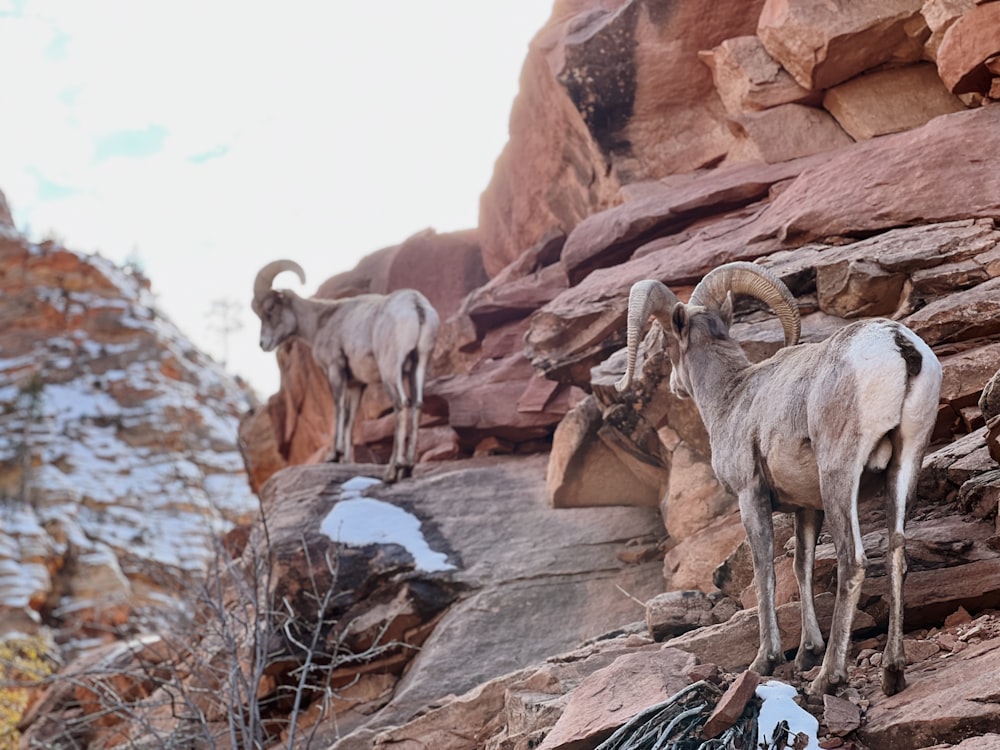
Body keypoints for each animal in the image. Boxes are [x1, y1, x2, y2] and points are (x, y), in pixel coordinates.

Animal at [252, 262, 440, 484]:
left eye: (270, 309)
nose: (263, 344)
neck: (320, 322)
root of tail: (416, 304)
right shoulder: (357, 384)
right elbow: (351, 419)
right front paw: (348, 460)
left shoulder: (336, 370)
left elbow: (339, 410)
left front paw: (334, 456)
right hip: (419, 364)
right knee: (417, 404)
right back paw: (407, 469)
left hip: (390, 369)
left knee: (401, 404)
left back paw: (393, 472)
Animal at [620, 264, 940, 700]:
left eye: (668, 341)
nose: (674, 385)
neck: (732, 396)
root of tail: (898, 345)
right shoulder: (807, 507)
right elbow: (801, 566)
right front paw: (806, 652)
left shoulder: (751, 495)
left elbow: (764, 572)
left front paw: (766, 660)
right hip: (906, 463)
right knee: (896, 552)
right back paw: (892, 672)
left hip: (839, 473)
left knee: (852, 561)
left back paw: (828, 678)